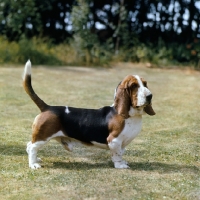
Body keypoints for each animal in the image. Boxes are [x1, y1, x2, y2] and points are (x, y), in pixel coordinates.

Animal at [22, 59, 155, 169]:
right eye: (134, 85)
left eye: (145, 84)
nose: (150, 96)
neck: (131, 115)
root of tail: (47, 107)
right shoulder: (114, 141)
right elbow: (117, 155)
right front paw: (120, 165)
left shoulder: (122, 144)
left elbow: (121, 153)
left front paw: (123, 162)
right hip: (43, 136)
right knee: (32, 147)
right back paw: (33, 164)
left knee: (29, 145)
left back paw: (36, 160)